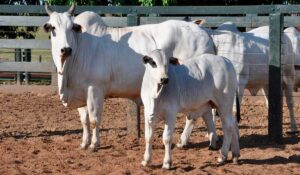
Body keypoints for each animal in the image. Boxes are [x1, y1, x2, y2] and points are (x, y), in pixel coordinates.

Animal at [42, 3, 216, 152]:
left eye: (71, 28)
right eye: (53, 28)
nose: (66, 49)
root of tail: (205, 33)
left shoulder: (95, 89)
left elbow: (94, 119)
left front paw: (94, 144)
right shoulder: (80, 92)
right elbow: (84, 120)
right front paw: (84, 143)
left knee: (194, 115)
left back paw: (183, 141)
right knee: (206, 112)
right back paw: (212, 141)